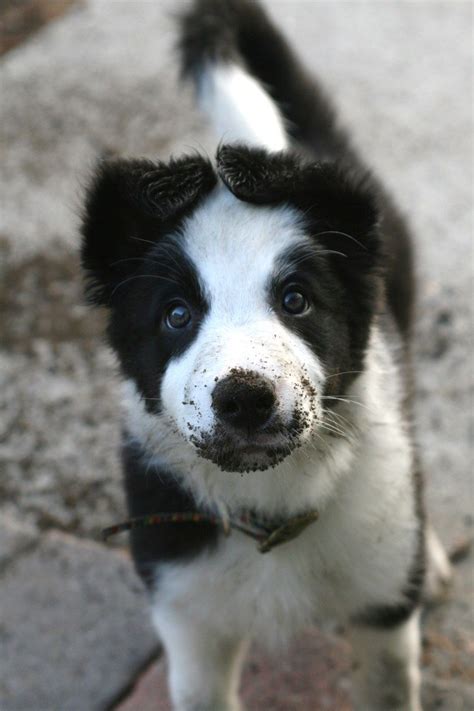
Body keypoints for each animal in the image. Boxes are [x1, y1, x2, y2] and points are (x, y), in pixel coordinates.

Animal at [79, 2, 450, 708]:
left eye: (296, 300)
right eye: (176, 315)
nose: (245, 399)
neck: (272, 505)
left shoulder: (384, 609)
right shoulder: (188, 615)